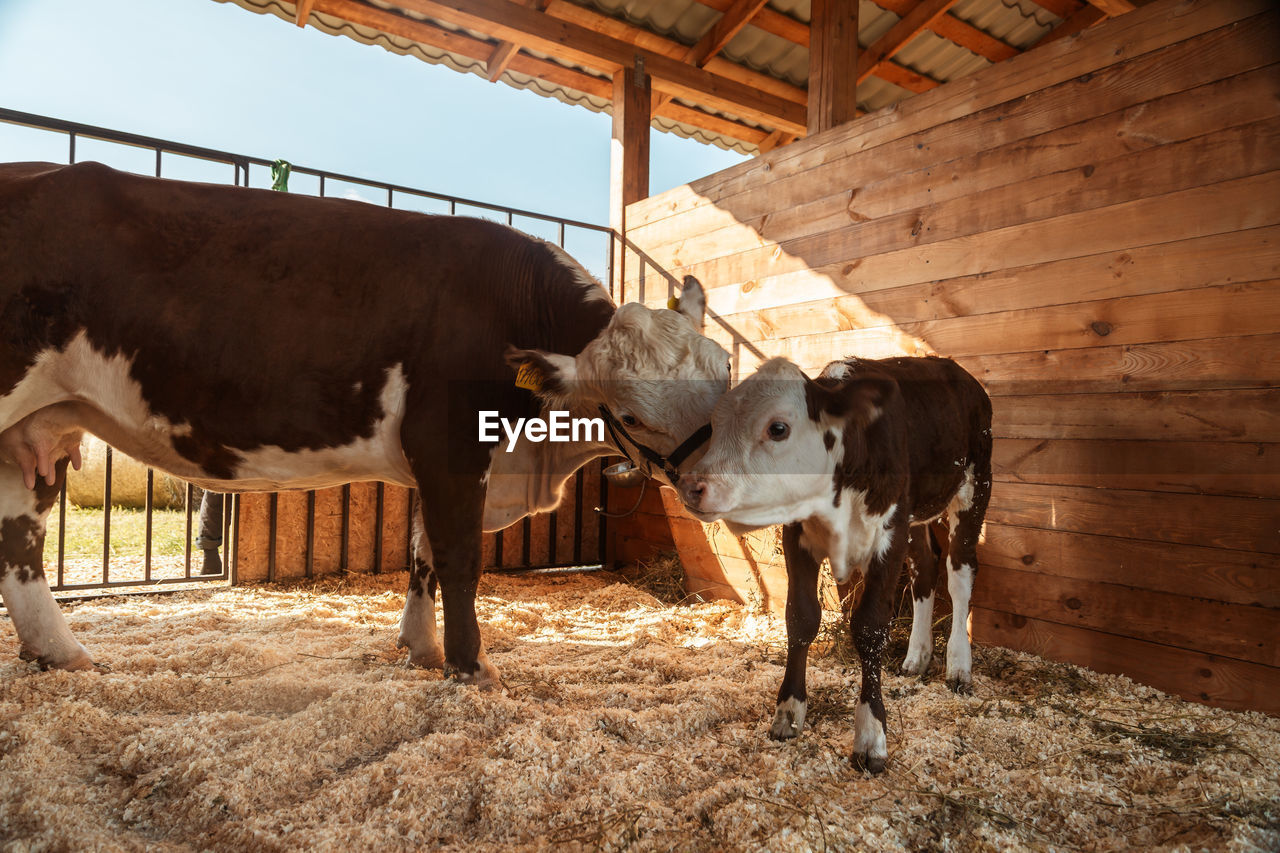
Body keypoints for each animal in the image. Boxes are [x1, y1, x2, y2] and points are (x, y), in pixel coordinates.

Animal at [0, 162, 732, 686]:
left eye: (725, 371)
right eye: (631, 412)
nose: (714, 482)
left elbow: (422, 552)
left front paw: (421, 647)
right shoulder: (451, 446)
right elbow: (458, 556)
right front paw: (472, 666)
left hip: (38, 428)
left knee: (20, 538)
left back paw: (61, 653)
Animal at [675, 353, 993, 768]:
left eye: (778, 428)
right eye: (714, 424)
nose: (691, 486)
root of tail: (959, 372)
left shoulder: (890, 534)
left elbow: (870, 627)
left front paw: (871, 735)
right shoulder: (797, 535)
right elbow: (800, 617)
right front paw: (789, 712)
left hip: (975, 485)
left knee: (960, 574)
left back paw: (958, 666)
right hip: (919, 513)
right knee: (925, 568)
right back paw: (917, 657)